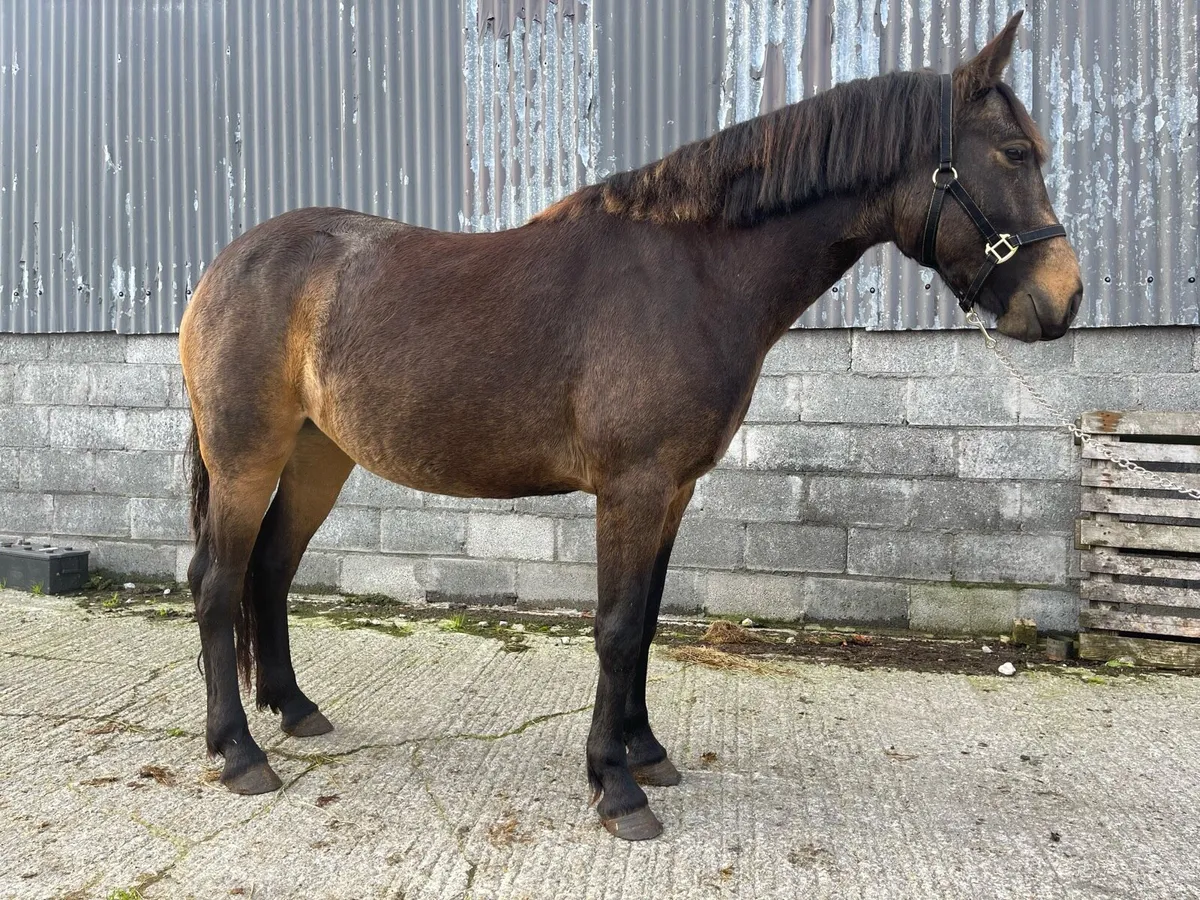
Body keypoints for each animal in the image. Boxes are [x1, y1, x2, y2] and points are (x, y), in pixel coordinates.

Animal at [179, 11, 1081, 841]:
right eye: (1014, 153)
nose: (1064, 299)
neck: (694, 275)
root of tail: (225, 265)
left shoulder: (673, 491)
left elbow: (645, 621)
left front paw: (646, 752)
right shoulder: (633, 488)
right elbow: (614, 629)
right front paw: (615, 788)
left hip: (317, 457)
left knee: (270, 569)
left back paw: (295, 710)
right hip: (246, 458)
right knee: (217, 582)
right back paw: (239, 752)